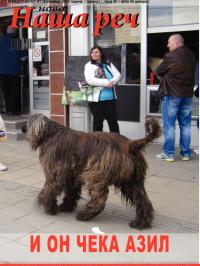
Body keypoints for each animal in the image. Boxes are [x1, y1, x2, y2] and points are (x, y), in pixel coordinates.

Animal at [22, 114, 162, 229]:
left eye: (27, 122)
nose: (22, 128)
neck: (51, 133)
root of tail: (129, 145)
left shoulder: (56, 174)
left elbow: (50, 189)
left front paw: (49, 207)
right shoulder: (72, 176)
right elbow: (71, 193)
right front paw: (65, 207)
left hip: (97, 175)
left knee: (100, 198)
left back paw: (85, 214)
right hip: (131, 182)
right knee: (142, 200)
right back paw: (141, 222)